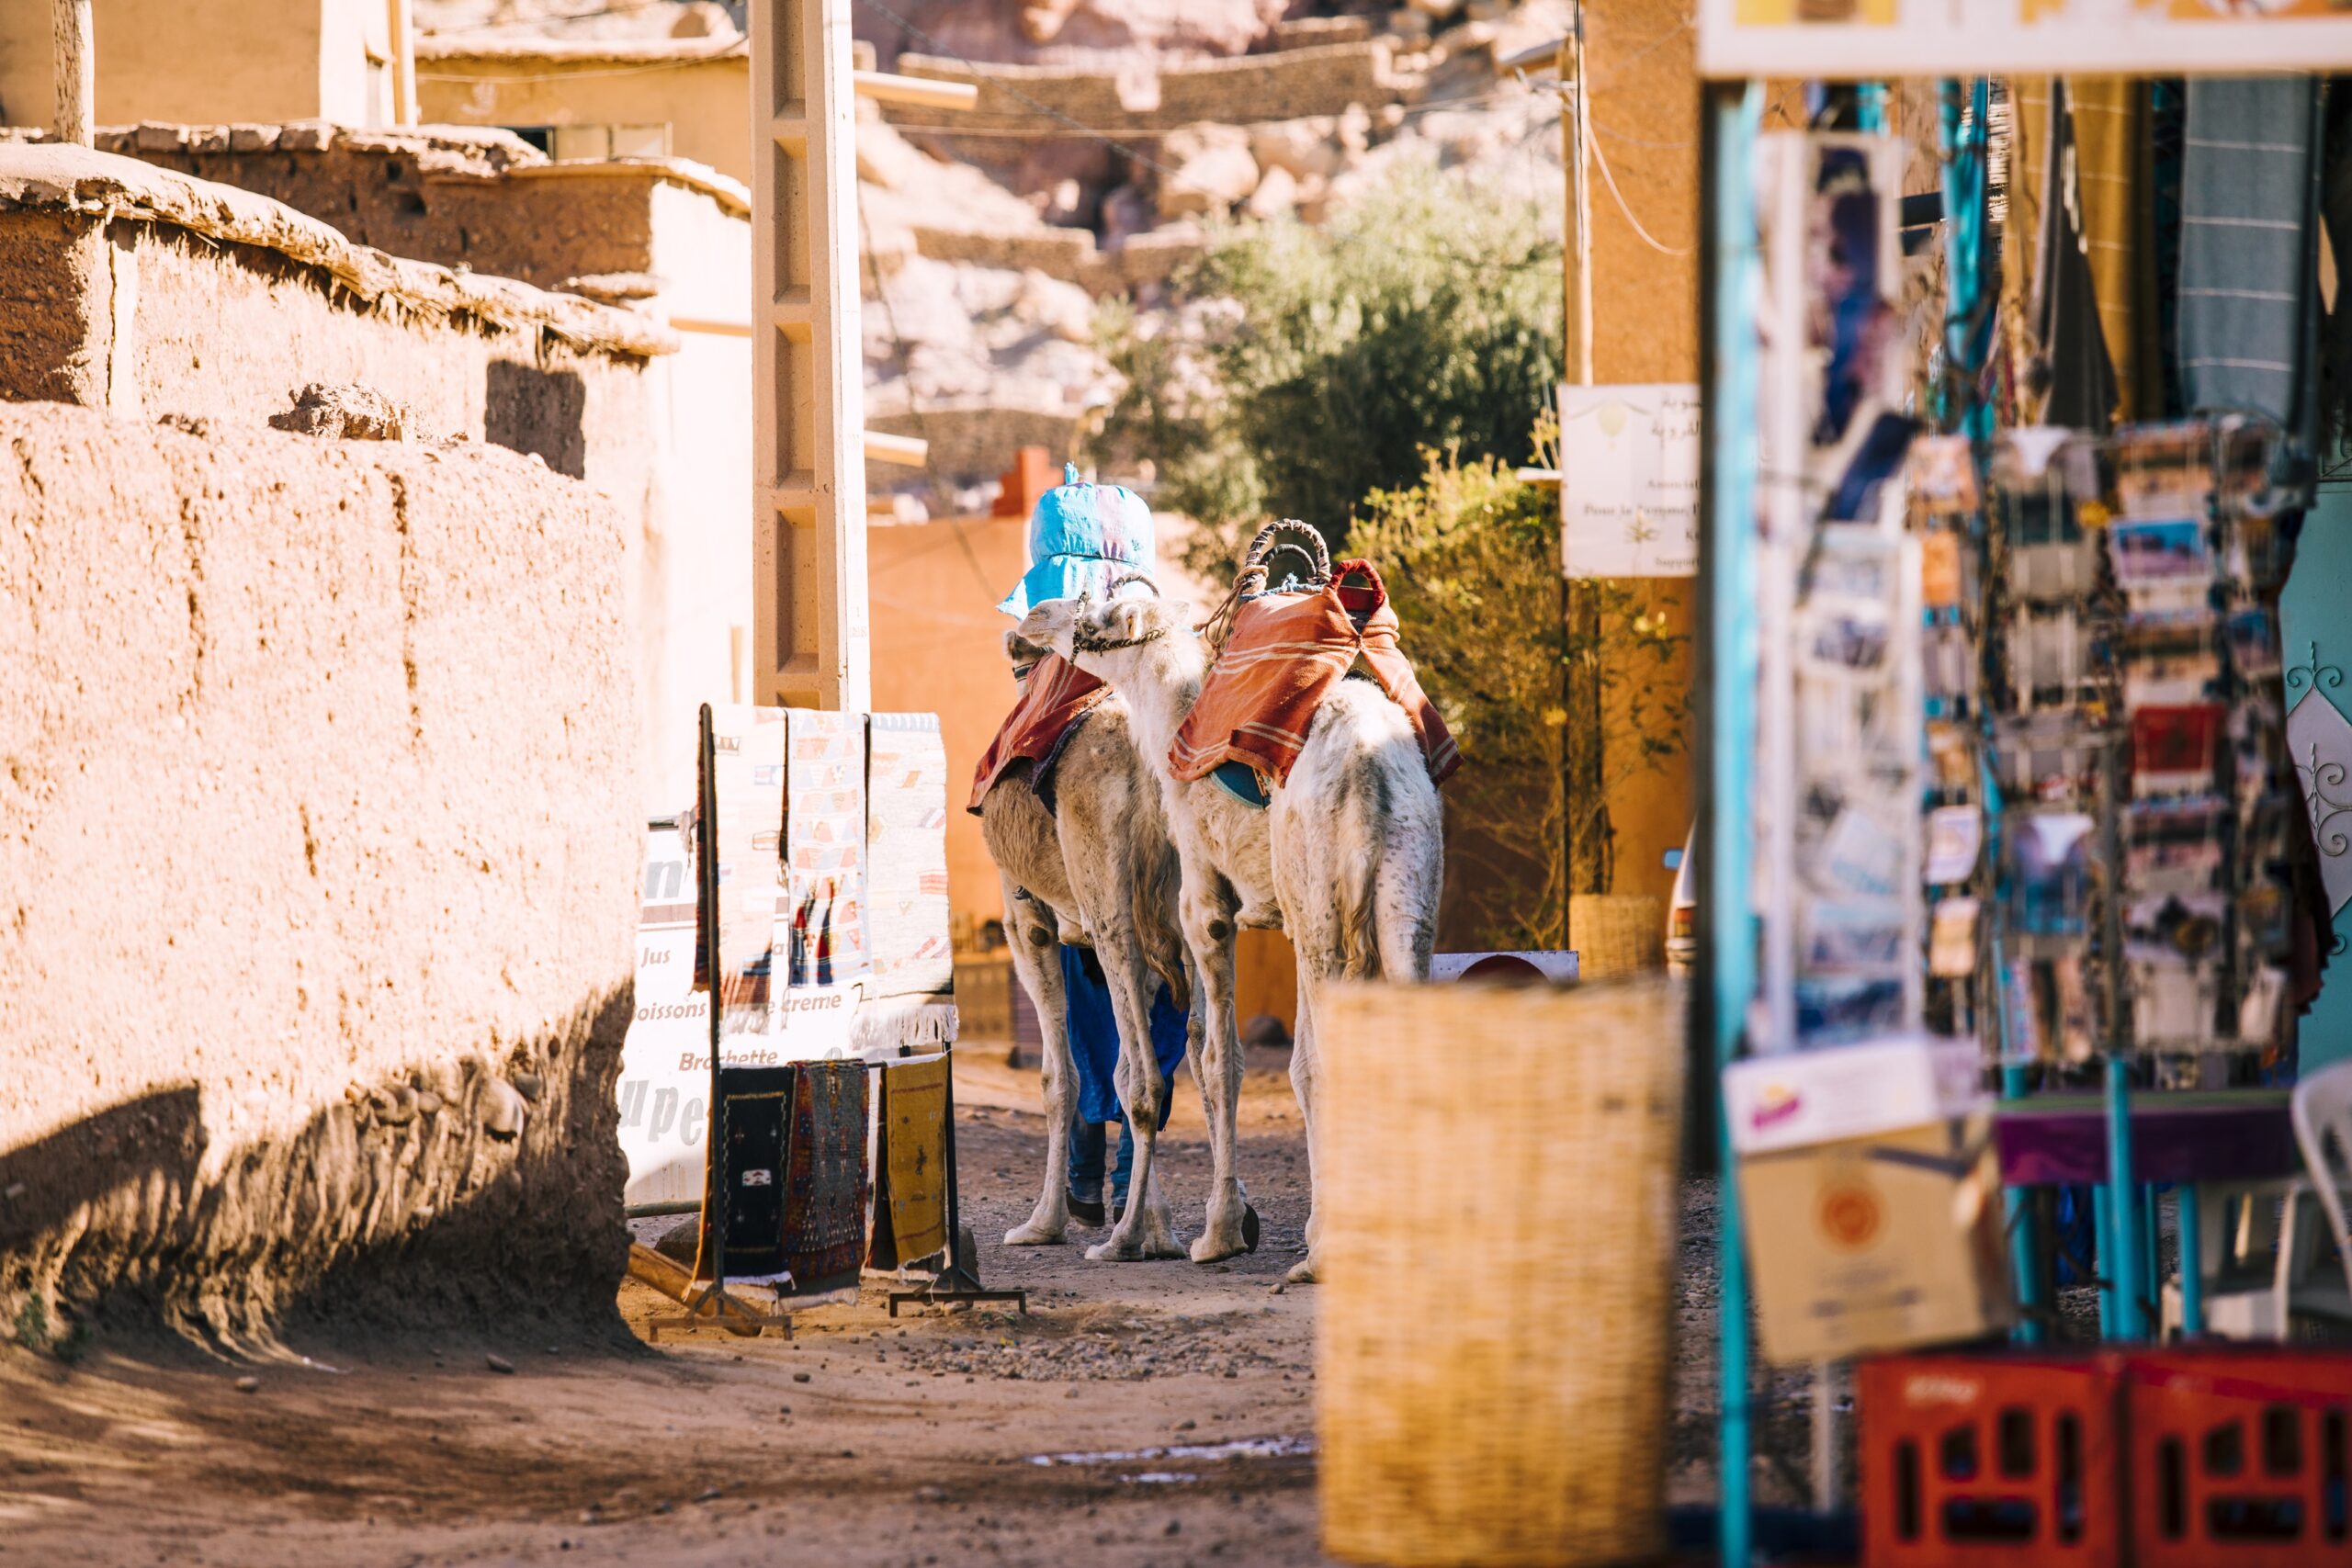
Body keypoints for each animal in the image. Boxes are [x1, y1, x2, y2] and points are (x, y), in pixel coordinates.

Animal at [978, 629, 1204, 1259]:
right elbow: (1122, 1065)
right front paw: (1162, 1226)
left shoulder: (1025, 919)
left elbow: (1061, 1080)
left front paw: (1042, 1223)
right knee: (1201, 1062)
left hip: (1107, 905)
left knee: (1145, 1082)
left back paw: (1120, 1241)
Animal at [1021, 582, 1439, 1279]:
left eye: (1099, 614)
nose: (1034, 616)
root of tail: (1368, 771)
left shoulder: (1205, 902)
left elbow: (1221, 1062)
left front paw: (1217, 1235)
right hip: (1410, 887)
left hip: (1319, 901)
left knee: (1324, 1056)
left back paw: (1320, 1253)